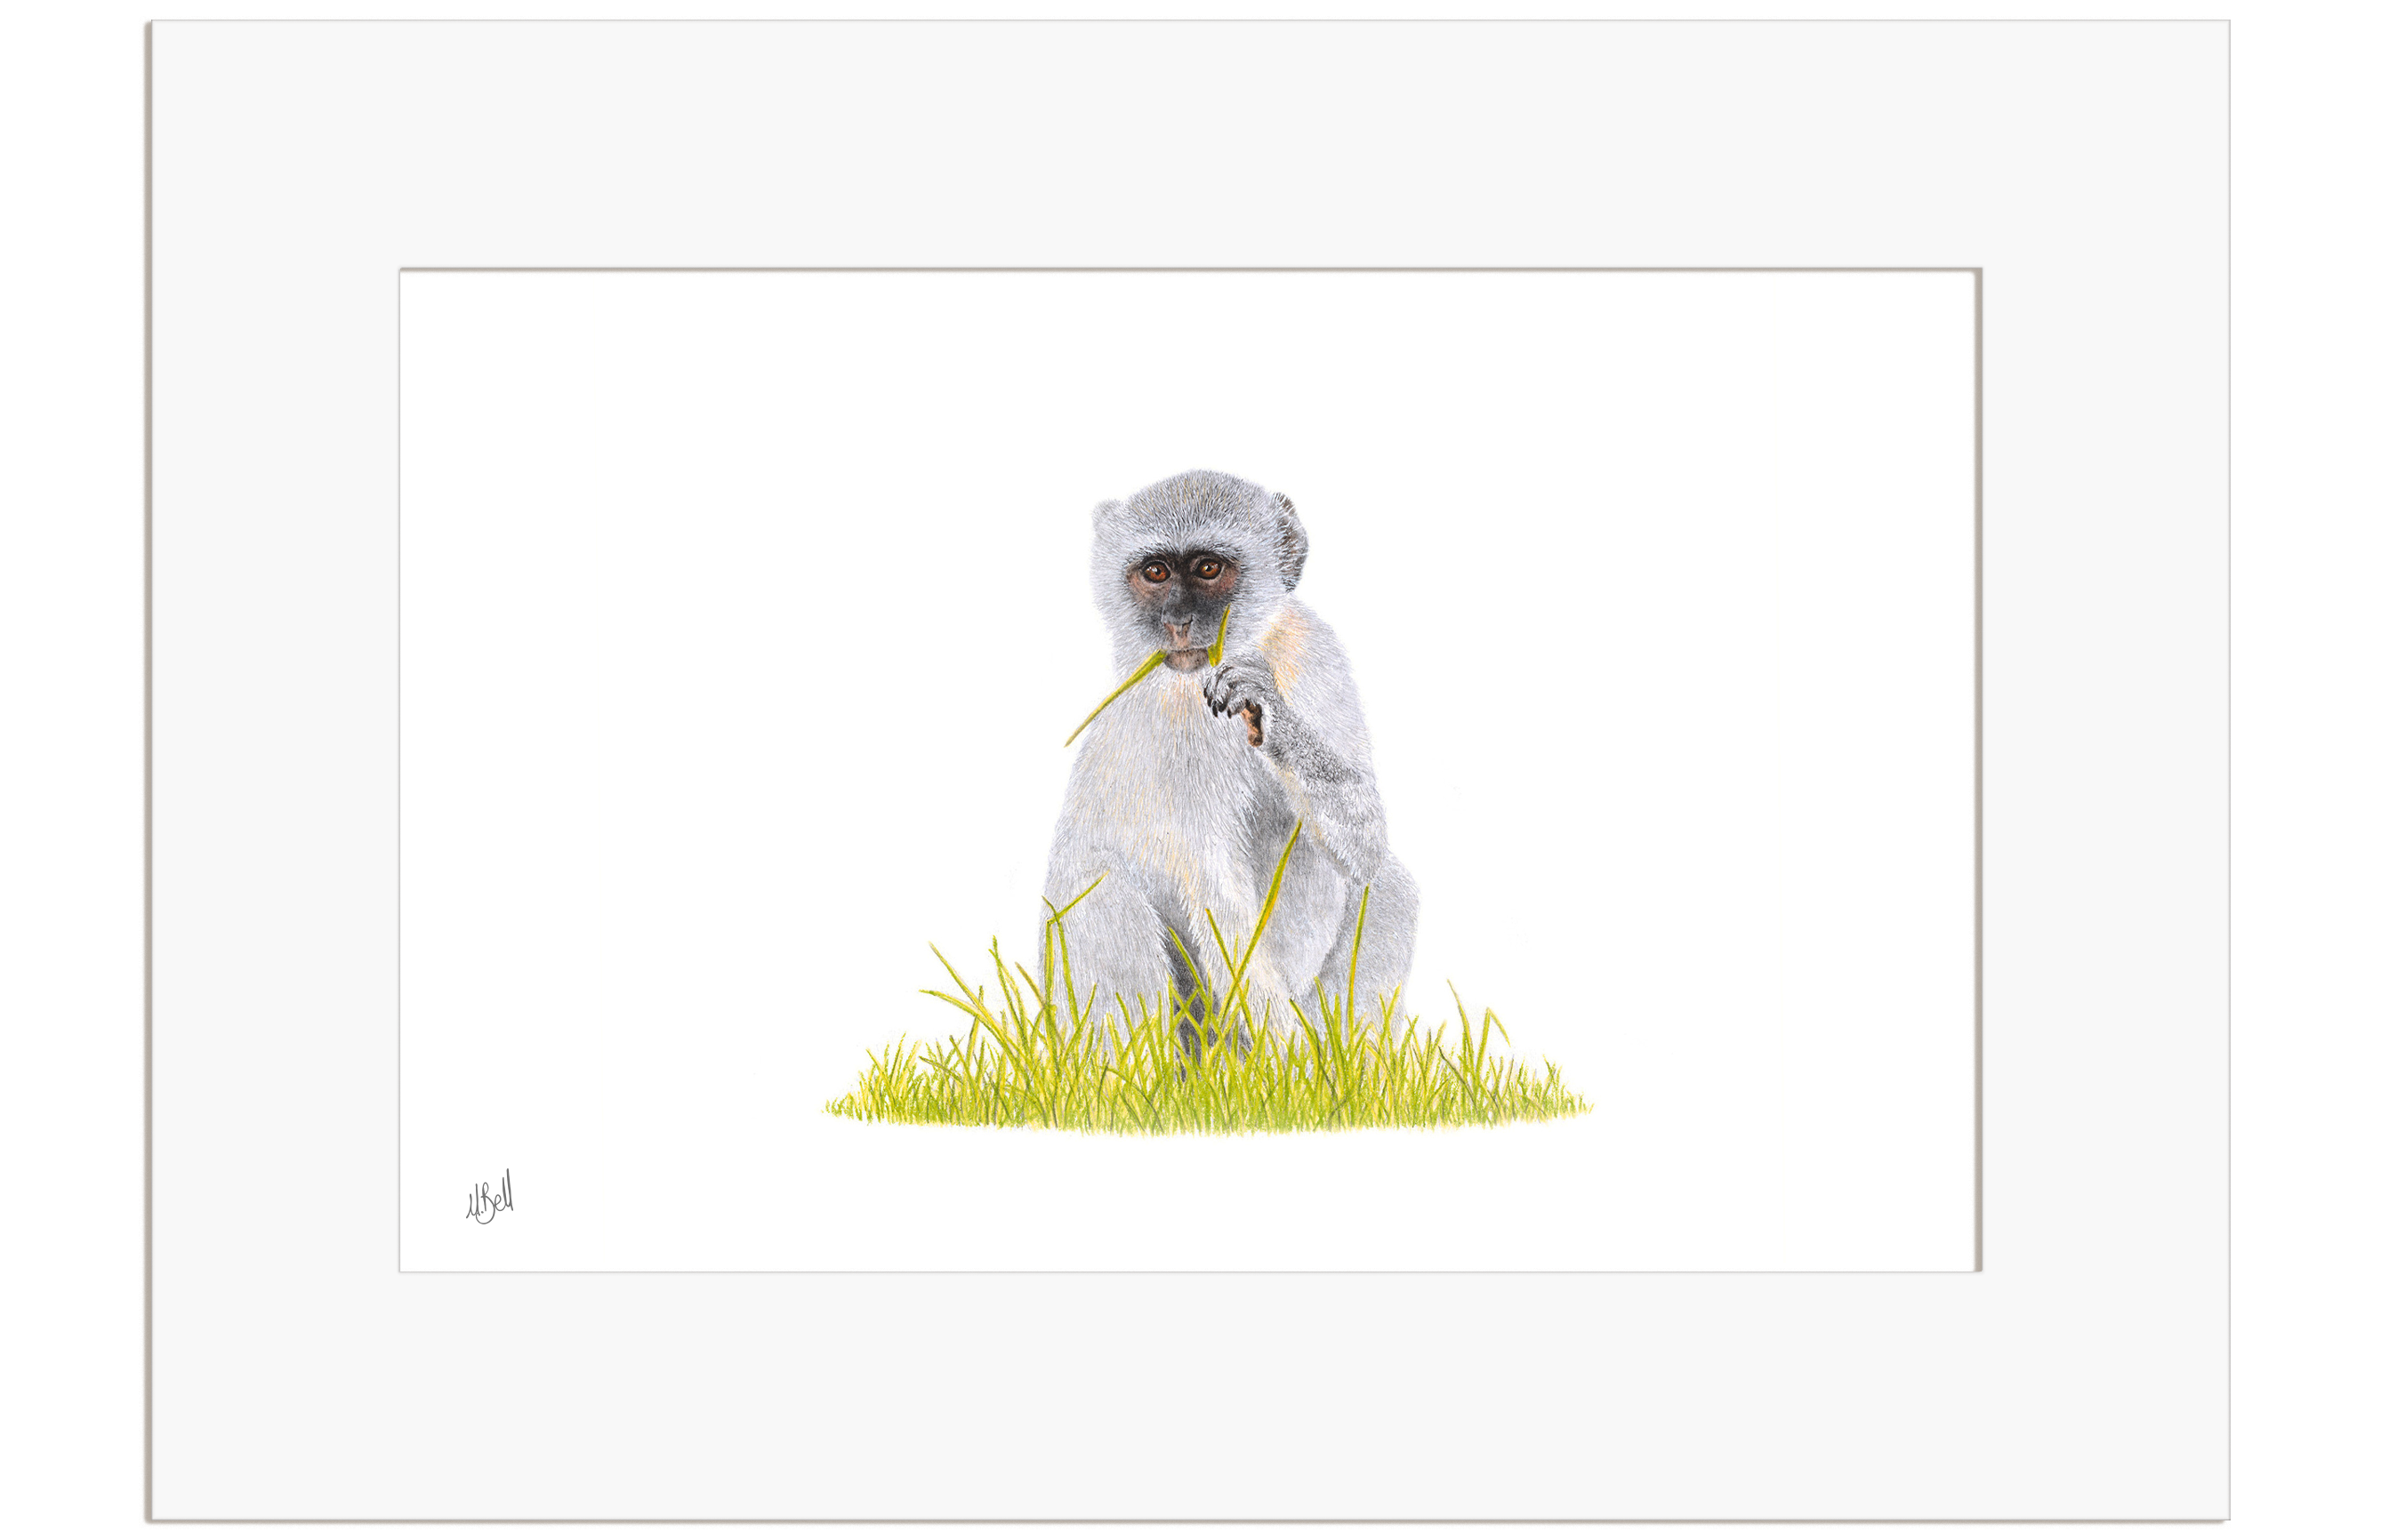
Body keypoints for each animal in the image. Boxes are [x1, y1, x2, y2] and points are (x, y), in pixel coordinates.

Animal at [1041, 469, 1419, 1052]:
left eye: (1208, 568)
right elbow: (1212, 891)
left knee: (1384, 883)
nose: (1178, 622)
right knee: (1102, 892)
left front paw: (1268, 711)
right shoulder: (1172, 730)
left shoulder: (1314, 650)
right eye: (1155, 572)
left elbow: (1366, 838)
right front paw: (1295, 1062)